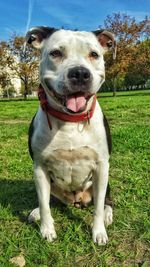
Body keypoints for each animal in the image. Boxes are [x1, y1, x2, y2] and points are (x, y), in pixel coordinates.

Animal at [26, 26, 116, 246]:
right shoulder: (39, 168)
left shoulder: (102, 167)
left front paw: (98, 232)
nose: (80, 73)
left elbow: (98, 206)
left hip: (104, 180)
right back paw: (36, 213)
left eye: (94, 54)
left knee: (107, 200)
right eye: (56, 53)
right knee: (47, 200)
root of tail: (76, 201)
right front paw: (46, 229)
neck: (71, 121)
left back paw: (108, 214)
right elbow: (44, 203)